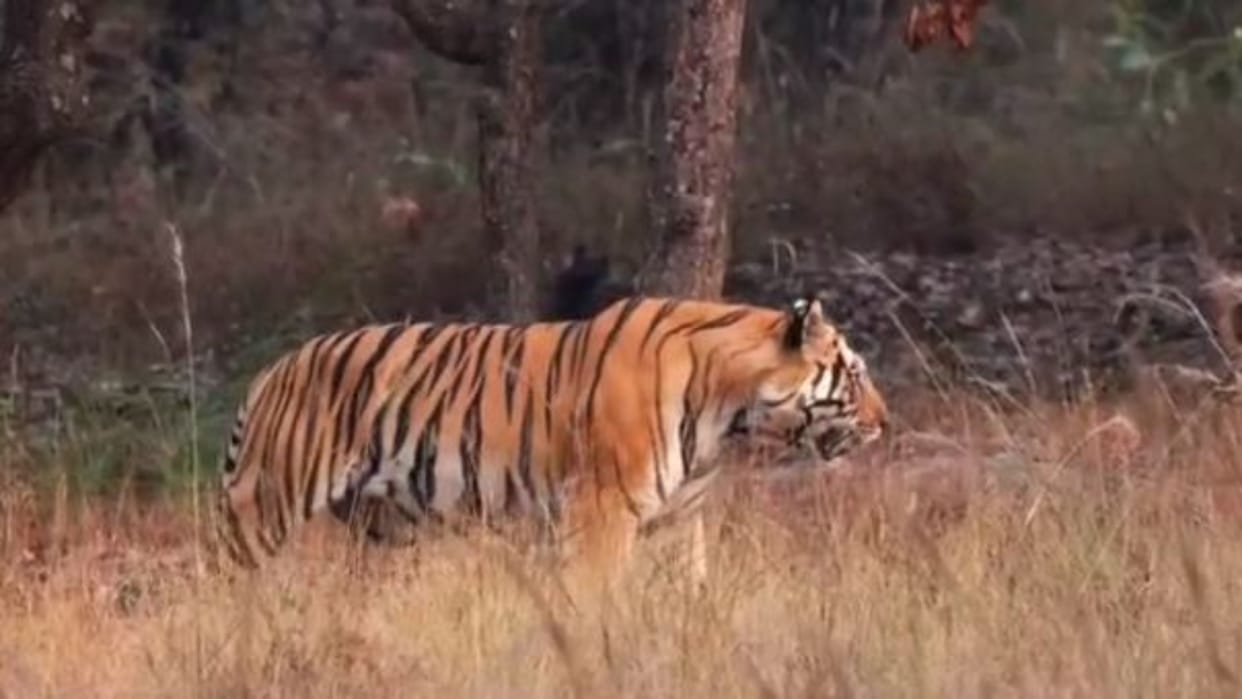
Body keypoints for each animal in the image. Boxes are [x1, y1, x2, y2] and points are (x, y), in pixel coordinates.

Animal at [215, 295, 888, 594]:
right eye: (854, 375)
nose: (886, 421)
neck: (730, 412)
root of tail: (268, 373)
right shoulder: (601, 511)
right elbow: (596, 596)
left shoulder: (678, 519)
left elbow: (690, 590)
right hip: (262, 511)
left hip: (383, 530)